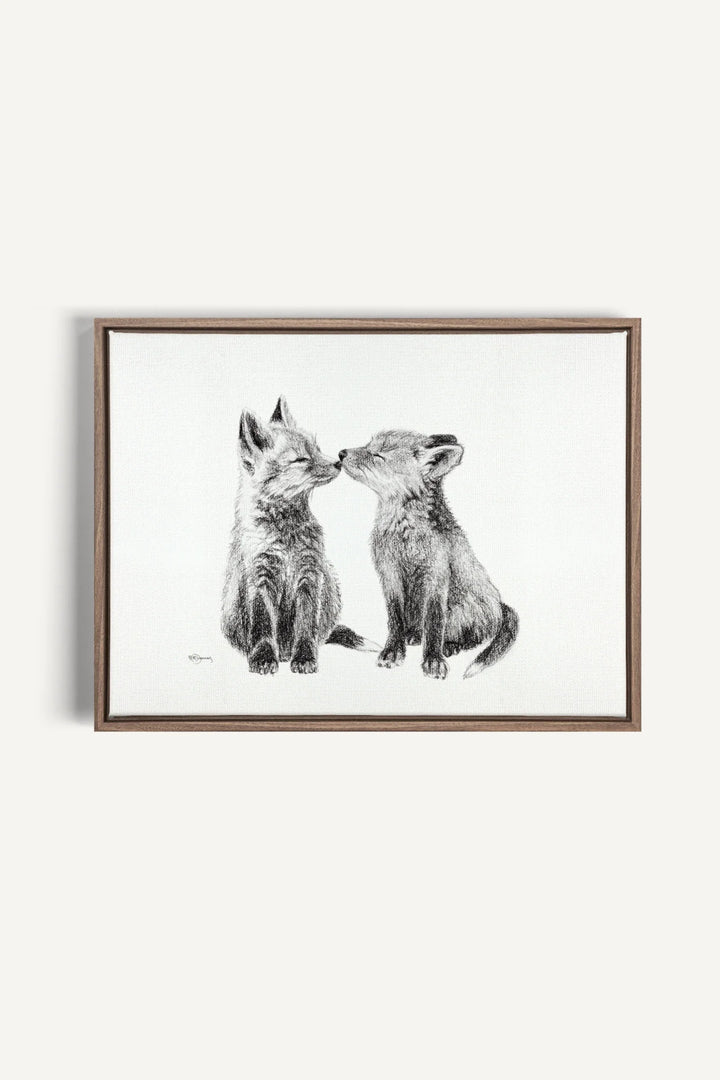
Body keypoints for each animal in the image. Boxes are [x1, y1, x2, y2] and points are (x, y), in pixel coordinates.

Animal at [222, 396, 379, 675]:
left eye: (317, 449)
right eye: (300, 460)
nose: (338, 462)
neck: (286, 536)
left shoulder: (309, 576)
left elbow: (305, 626)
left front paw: (305, 658)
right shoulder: (260, 578)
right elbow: (263, 625)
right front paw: (263, 657)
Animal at [338, 430, 518, 680]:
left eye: (378, 455)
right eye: (367, 445)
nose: (340, 453)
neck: (405, 538)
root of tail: (500, 604)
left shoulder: (436, 578)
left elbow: (434, 625)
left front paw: (433, 660)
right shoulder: (389, 575)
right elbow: (395, 619)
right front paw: (393, 650)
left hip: (462, 612)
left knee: (472, 636)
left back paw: (450, 646)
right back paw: (414, 635)